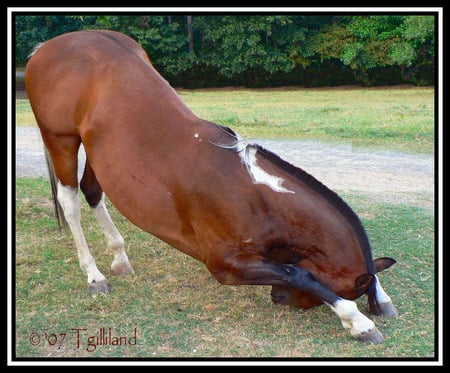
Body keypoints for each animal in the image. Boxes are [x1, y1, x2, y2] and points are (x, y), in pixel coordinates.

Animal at [24, 29, 398, 342]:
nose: (276, 297)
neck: (256, 197)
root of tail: (46, 48)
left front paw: (381, 298)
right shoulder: (225, 263)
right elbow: (296, 273)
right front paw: (358, 321)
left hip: (97, 151)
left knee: (93, 192)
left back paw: (119, 258)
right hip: (61, 140)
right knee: (71, 203)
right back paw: (95, 275)